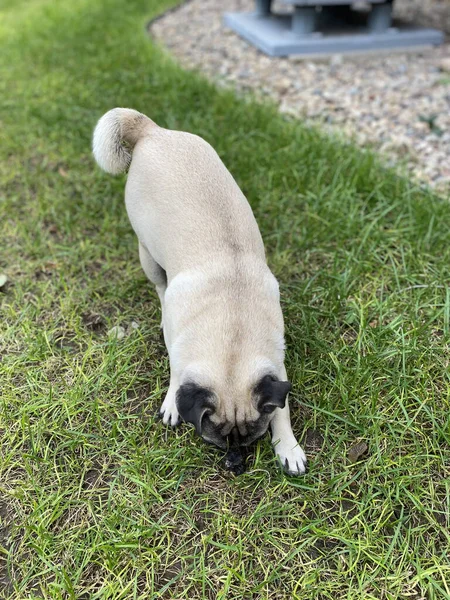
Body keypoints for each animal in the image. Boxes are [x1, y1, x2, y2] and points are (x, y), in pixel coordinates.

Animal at [93, 106, 308, 474]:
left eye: (251, 439)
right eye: (215, 440)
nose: (235, 464)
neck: (232, 327)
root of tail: (153, 130)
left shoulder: (275, 367)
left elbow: (282, 410)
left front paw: (287, 446)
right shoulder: (182, 349)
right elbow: (177, 372)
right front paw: (172, 402)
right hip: (147, 253)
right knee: (160, 287)